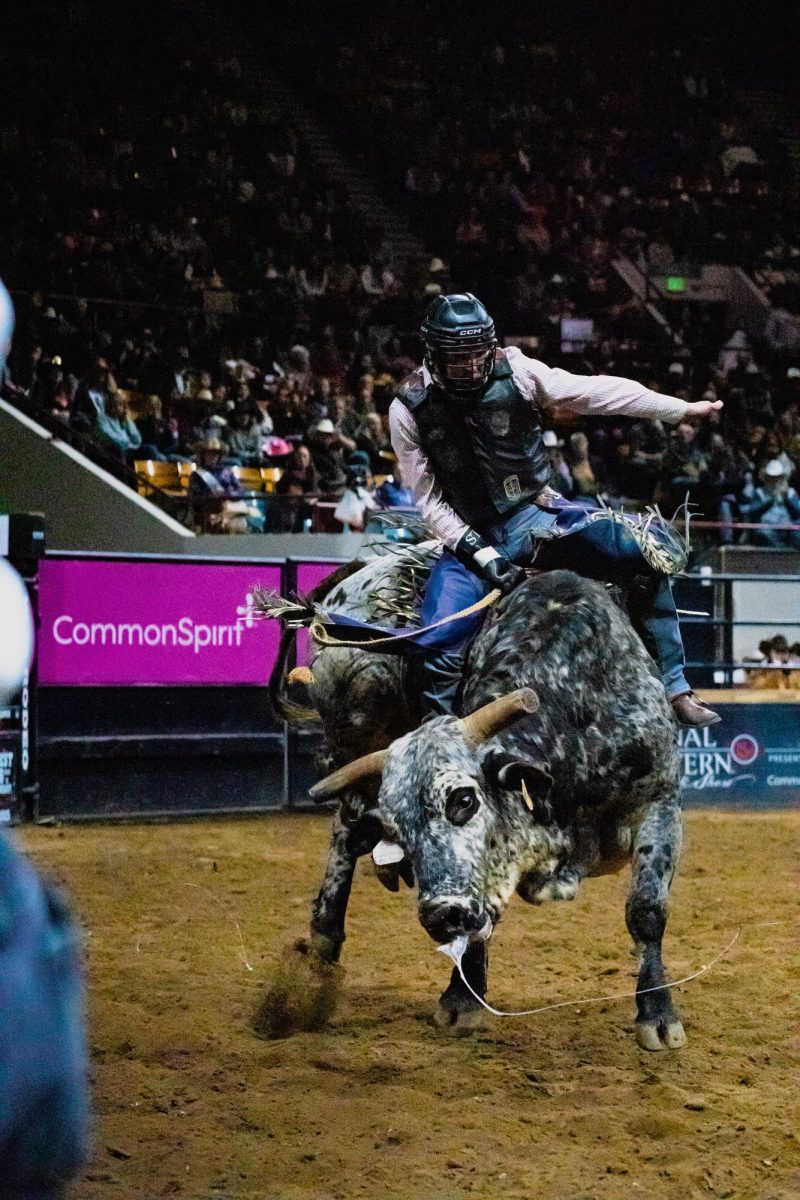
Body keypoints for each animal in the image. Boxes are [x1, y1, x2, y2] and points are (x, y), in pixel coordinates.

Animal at [266, 564, 686, 1051]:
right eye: (398, 826)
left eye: (463, 799)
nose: (440, 913)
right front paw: (462, 999)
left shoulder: (660, 802)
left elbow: (647, 912)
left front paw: (658, 1014)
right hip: (356, 721)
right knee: (347, 832)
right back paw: (321, 948)